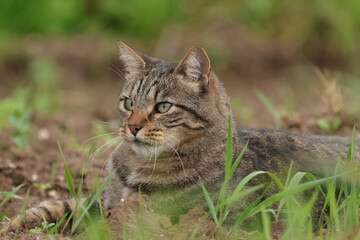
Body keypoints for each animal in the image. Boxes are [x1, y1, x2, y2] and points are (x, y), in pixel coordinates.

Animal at [1, 41, 358, 234]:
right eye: (128, 103)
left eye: (162, 107)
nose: (132, 127)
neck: (133, 168)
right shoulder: (99, 203)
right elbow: (55, 205)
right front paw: (12, 225)